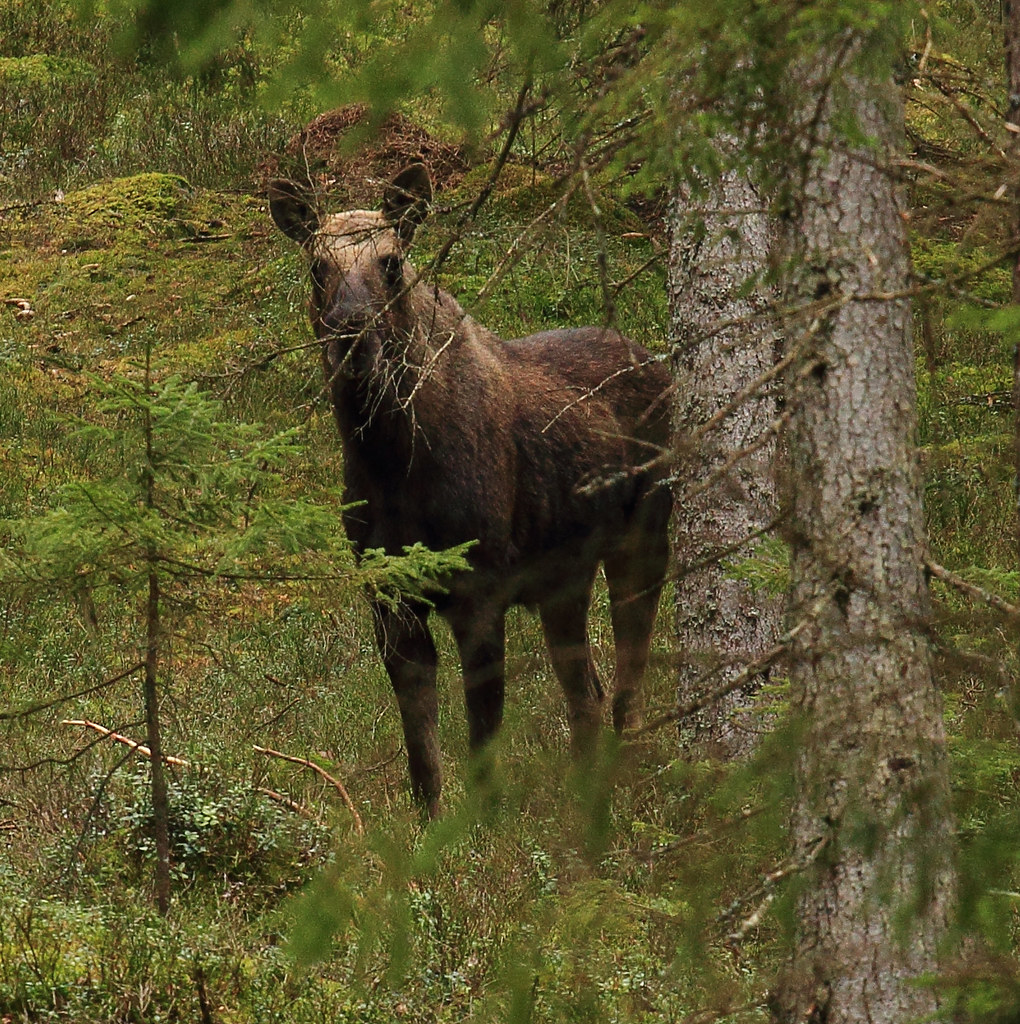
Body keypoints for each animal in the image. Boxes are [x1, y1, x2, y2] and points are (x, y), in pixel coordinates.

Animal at [268, 164, 672, 817]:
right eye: (316, 266)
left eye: (391, 262)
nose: (352, 334)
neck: (390, 464)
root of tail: (658, 362)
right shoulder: (387, 594)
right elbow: (422, 754)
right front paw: (432, 825)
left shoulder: (480, 590)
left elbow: (482, 740)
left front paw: (486, 827)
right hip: (564, 577)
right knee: (586, 689)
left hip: (646, 533)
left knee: (627, 678)